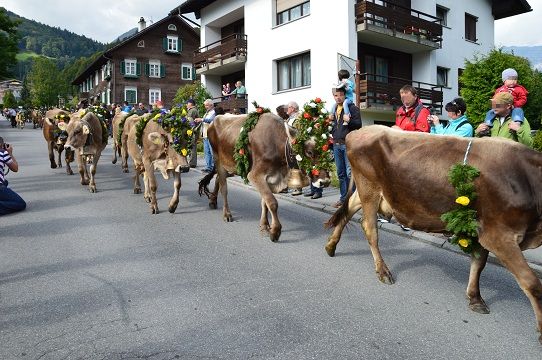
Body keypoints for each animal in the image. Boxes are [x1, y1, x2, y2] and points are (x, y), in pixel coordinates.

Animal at [199, 112, 332, 242]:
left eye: (327, 151)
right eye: (309, 152)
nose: (325, 182)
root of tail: (216, 118)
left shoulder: (270, 178)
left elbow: (265, 202)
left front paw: (264, 226)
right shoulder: (255, 175)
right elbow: (272, 202)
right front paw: (275, 231)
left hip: (231, 165)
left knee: (218, 179)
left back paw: (213, 201)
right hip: (218, 160)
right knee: (224, 188)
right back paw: (227, 214)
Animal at [326, 125, 542, 344]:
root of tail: (360, 130)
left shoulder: (481, 229)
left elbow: (479, 263)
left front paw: (475, 298)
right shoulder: (499, 234)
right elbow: (532, 283)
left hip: (369, 192)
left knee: (348, 209)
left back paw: (331, 245)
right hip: (369, 188)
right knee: (369, 228)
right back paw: (383, 271)